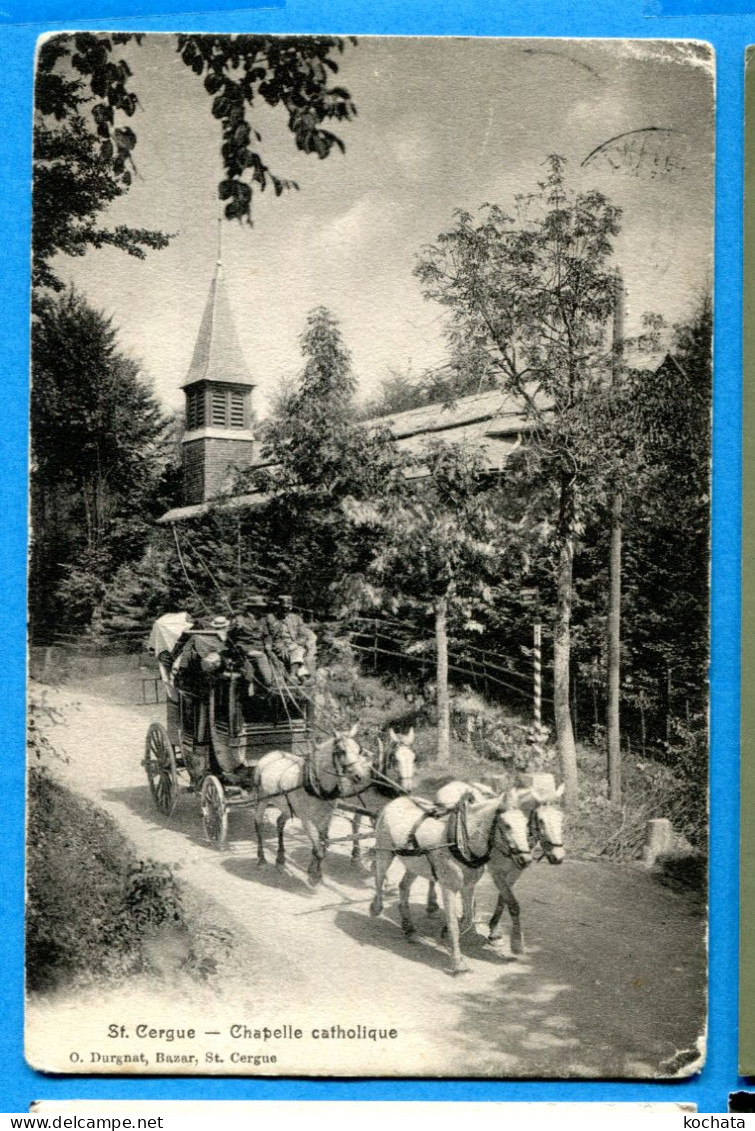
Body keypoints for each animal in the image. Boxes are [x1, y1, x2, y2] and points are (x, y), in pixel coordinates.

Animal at [252, 728, 372, 886]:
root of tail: (270, 755)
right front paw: (314, 876)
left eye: (359, 750)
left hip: (287, 806)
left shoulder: (326, 818)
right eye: (341, 751)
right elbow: (319, 848)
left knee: (280, 822)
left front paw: (314, 871)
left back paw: (280, 860)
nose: (360, 776)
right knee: (258, 822)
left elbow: (321, 844)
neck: (317, 786)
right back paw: (261, 859)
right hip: (262, 799)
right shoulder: (307, 821)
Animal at [370, 787, 531, 972]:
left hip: (414, 865)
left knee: (404, 886)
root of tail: (396, 801)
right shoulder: (448, 887)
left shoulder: (468, 886)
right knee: (379, 877)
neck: (460, 841)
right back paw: (376, 907)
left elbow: (468, 919)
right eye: (507, 825)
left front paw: (448, 937)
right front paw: (457, 963)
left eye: (526, 824)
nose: (526, 860)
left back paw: (410, 929)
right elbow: (454, 922)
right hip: (384, 853)